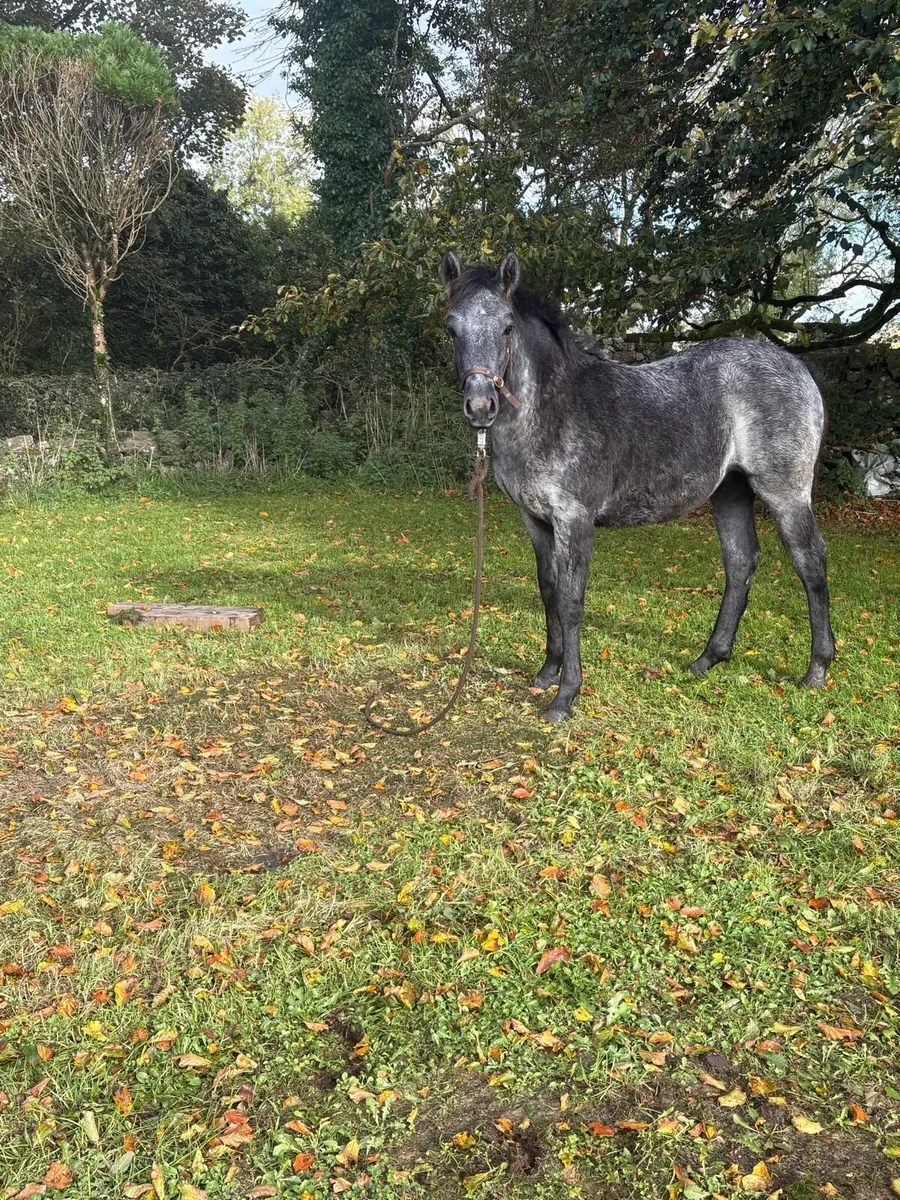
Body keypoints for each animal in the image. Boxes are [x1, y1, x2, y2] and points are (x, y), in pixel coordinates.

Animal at [440, 250, 835, 722]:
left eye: (506, 327)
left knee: (810, 564)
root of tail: (798, 368)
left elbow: (571, 602)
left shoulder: (574, 520)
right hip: (730, 491)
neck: (552, 408)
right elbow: (548, 591)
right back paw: (707, 659)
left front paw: (565, 696)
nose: (480, 406)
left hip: (786, 494)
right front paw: (547, 672)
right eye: (451, 328)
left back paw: (816, 671)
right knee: (741, 562)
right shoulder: (535, 520)